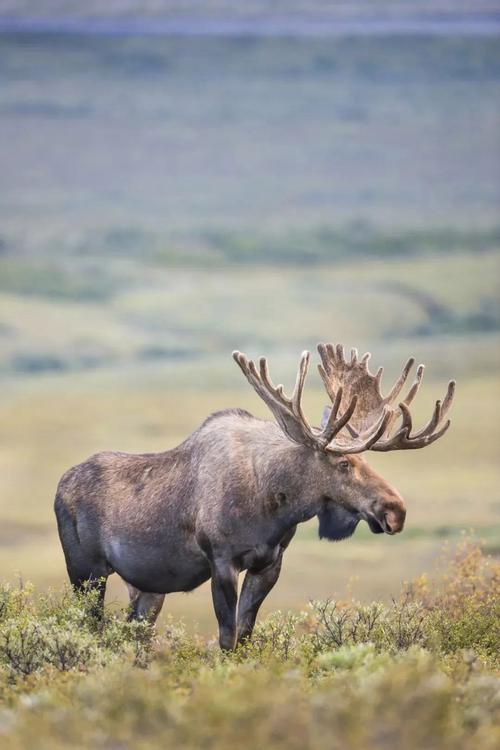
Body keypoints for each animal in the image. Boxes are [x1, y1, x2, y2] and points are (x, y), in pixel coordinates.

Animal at [54, 343, 455, 650]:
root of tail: (60, 486)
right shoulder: (221, 560)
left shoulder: (269, 563)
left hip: (146, 588)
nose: (395, 510)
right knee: (88, 627)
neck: (273, 504)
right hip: (86, 571)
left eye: (366, 458)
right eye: (343, 463)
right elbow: (227, 637)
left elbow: (245, 635)